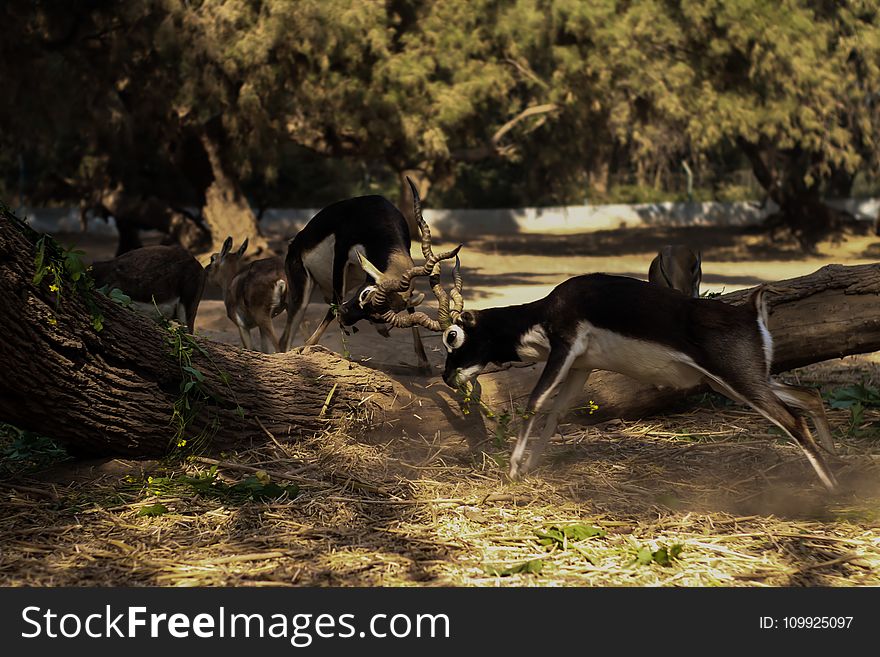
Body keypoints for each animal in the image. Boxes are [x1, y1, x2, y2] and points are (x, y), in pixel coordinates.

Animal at [282, 179, 460, 372]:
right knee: (286, 336)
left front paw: (424, 361)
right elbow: (335, 303)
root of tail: (295, 242)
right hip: (301, 293)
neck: (379, 217)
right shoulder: (341, 254)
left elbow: (412, 311)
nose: (343, 318)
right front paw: (306, 347)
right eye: (365, 294)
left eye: (373, 316)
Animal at [416, 266, 844, 492]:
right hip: (736, 381)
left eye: (452, 336)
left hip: (739, 380)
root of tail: (751, 311)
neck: (542, 313)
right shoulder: (581, 366)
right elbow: (555, 413)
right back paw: (837, 458)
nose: (447, 376)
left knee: (793, 420)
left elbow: (534, 403)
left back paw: (831, 489)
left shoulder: (565, 346)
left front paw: (513, 469)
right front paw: (530, 466)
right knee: (809, 395)